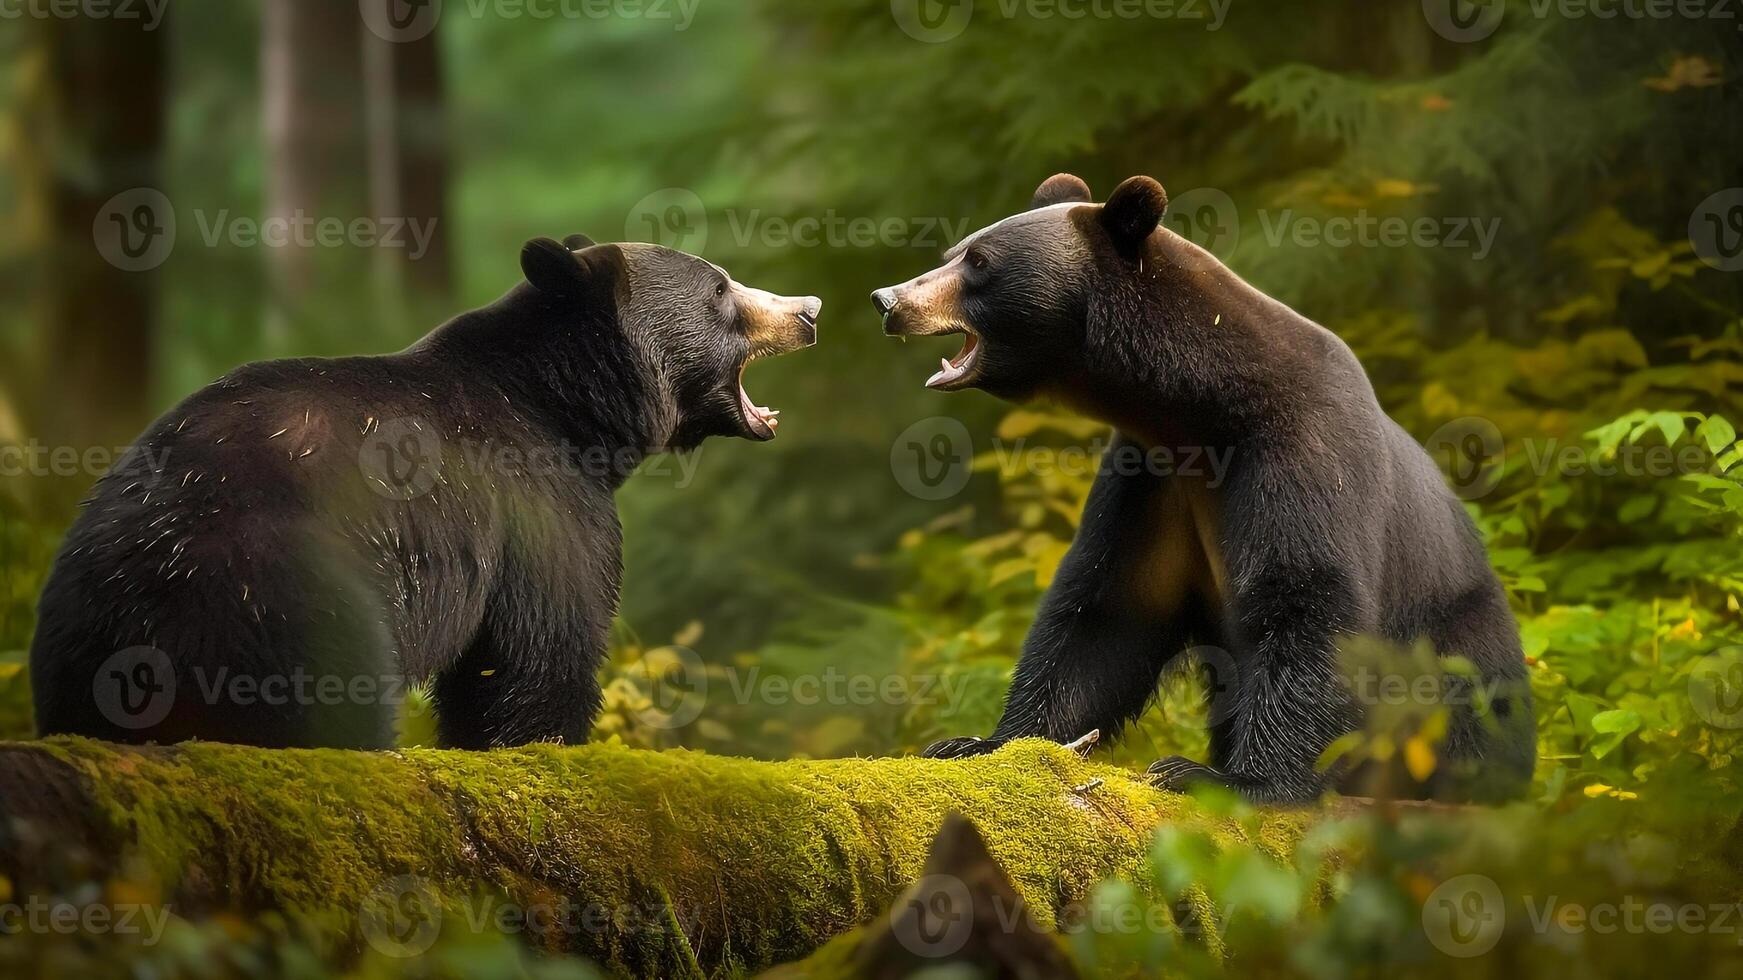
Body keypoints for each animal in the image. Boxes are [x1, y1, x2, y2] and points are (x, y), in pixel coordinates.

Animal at [27, 235, 815, 746]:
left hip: (76, 635)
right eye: (721, 288)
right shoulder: (535, 501)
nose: (808, 307)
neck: (566, 406)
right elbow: (539, 647)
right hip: (284, 599)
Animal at [871, 173, 1526, 802]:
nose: (888, 300)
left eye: (979, 261)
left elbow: (1308, 598)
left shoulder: (1302, 453)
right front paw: (977, 742)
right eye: (953, 252)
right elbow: (1108, 609)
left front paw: (1230, 777)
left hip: (1458, 646)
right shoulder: (1153, 479)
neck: (1202, 413)